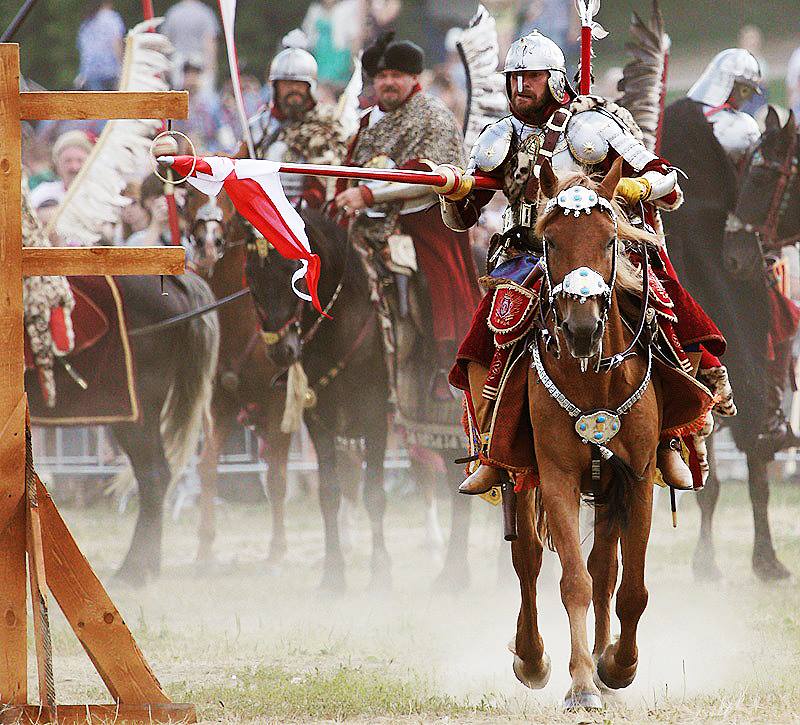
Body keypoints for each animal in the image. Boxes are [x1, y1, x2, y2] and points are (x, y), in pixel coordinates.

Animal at [183, 187, 292, 567]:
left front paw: (277, 550)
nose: (208, 243)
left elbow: (276, 475)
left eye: (227, 197)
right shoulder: (219, 406)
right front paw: (204, 548)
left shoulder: (279, 402)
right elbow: (207, 467)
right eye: (189, 194)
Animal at [511, 159, 672, 709]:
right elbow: (573, 583)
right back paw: (532, 657)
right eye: (551, 242)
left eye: (609, 240)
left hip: (606, 489)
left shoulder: (637, 478)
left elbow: (632, 588)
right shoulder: (557, 476)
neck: (593, 380)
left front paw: (617, 667)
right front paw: (581, 683)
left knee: (606, 569)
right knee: (529, 562)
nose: (582, 328)